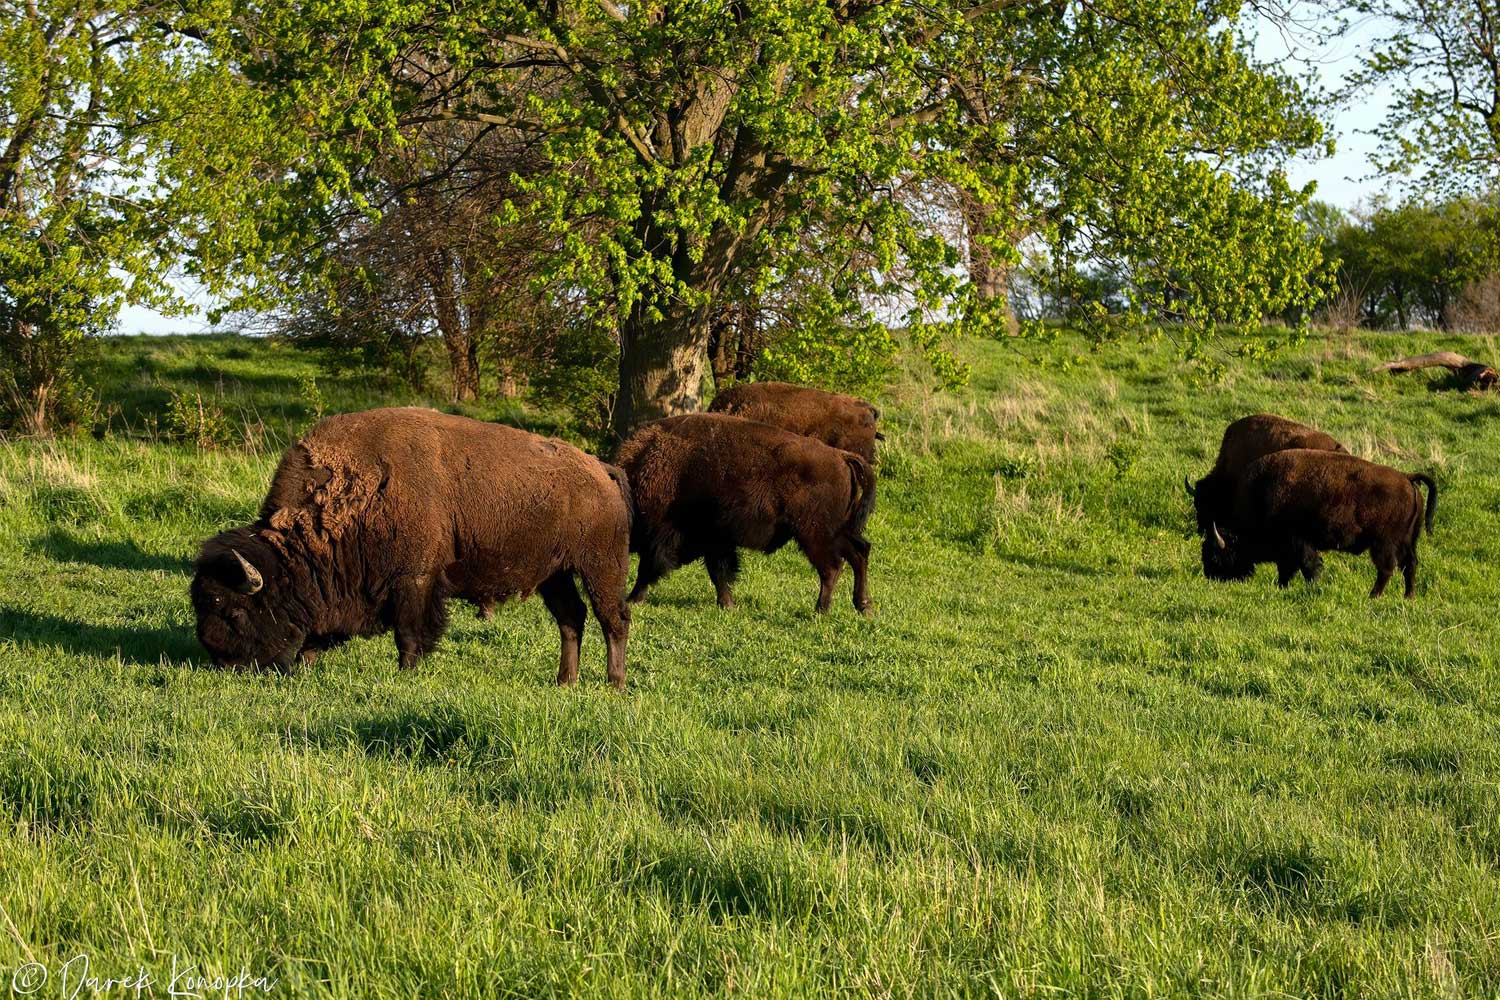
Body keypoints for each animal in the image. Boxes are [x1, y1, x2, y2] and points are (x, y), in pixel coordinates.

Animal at [189, 407, 633, 689]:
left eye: (233, 611)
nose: (224, 665)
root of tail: (601, 470)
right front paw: (305, 665)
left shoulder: (413, 581)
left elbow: (408, 634)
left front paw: (407, 673)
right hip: (554, 575)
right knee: (571, 620)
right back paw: (564, 682)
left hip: (600, 566)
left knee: (613, 618)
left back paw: (614, 684)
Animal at [612, 410, 876, 614]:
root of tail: (841, 456)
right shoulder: (716, 542)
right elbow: (720, 572)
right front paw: (727, 604)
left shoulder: (668, 537)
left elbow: (649, 569)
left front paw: (633, 599)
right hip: (838, 531)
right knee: (859, 552)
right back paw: (863, 606)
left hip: (814, 535)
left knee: (832, 567)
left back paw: (821, 609)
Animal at [1200, 449, 1434, 599]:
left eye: (1215, 556)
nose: (1211, 576)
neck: (1261, 494)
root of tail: (1407, 478)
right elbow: (1287, 569)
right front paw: (1282, 587)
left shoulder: (1298, 542)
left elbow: (1307, 566)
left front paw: (1310, 587)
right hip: (1407, 542)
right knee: (1410, 565)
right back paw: (1408, 597)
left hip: (1383, 544)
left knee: (1386, 569)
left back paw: (1373, 596)